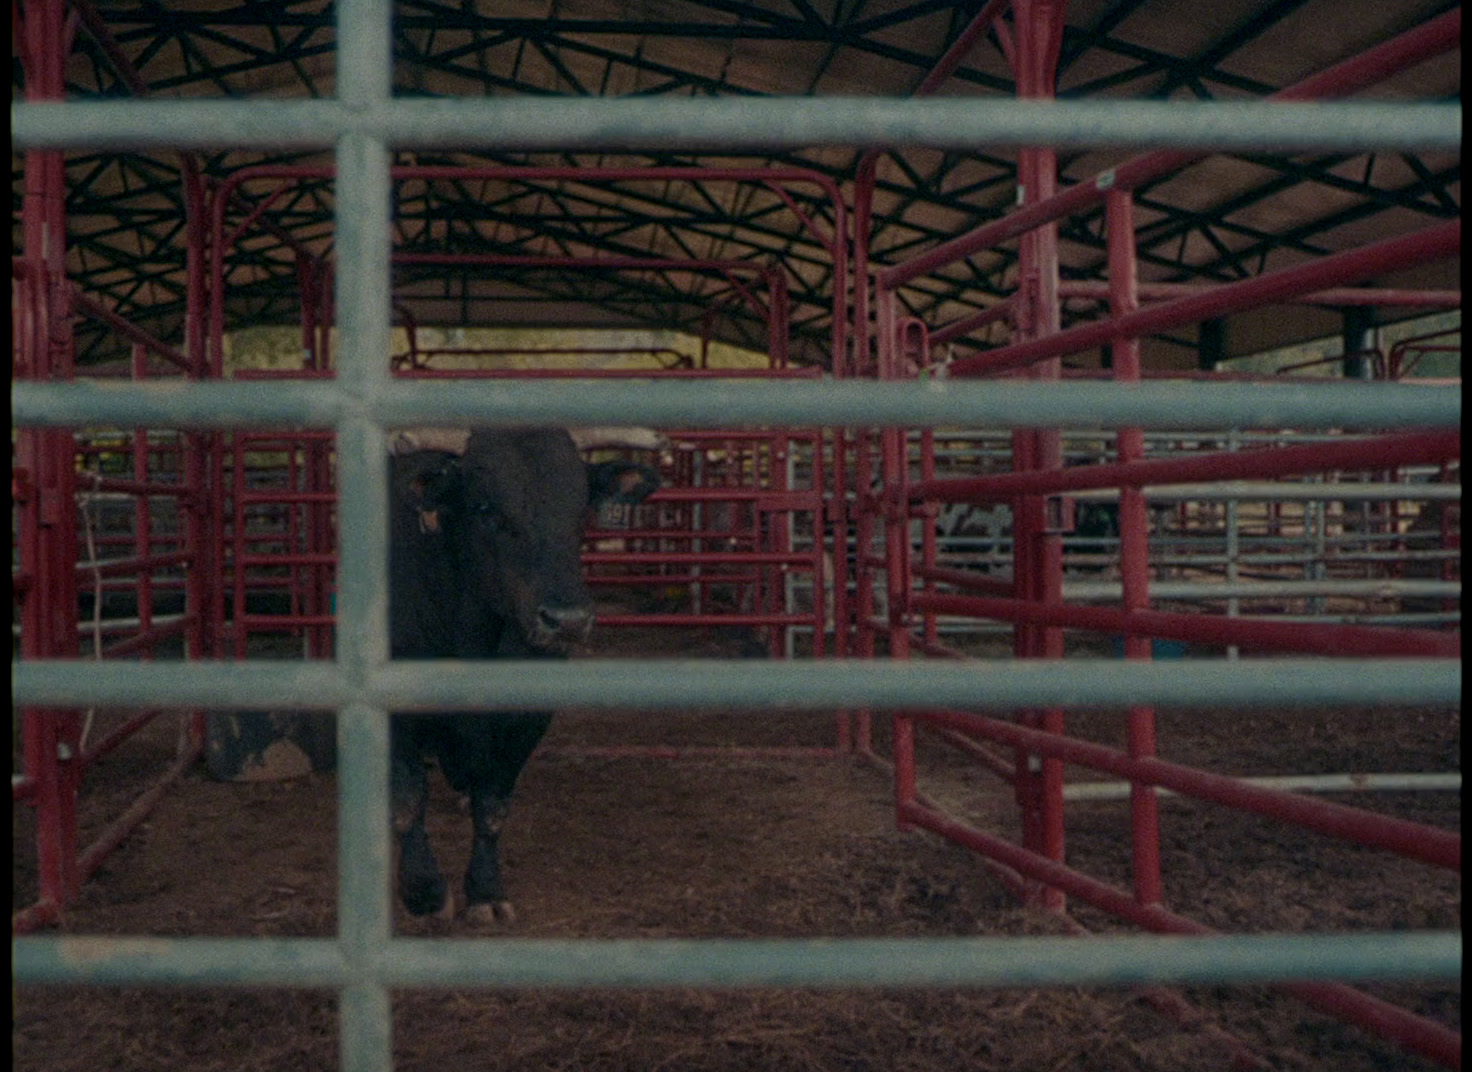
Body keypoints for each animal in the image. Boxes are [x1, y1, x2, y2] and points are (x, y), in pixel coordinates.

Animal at [394, 427, 665, 918]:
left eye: (581, 508)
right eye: (485, 508)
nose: (568, 619)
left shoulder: (526, 717)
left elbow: (493, 806)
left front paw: (485, 891)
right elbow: (408, 800)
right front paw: (424, 891)